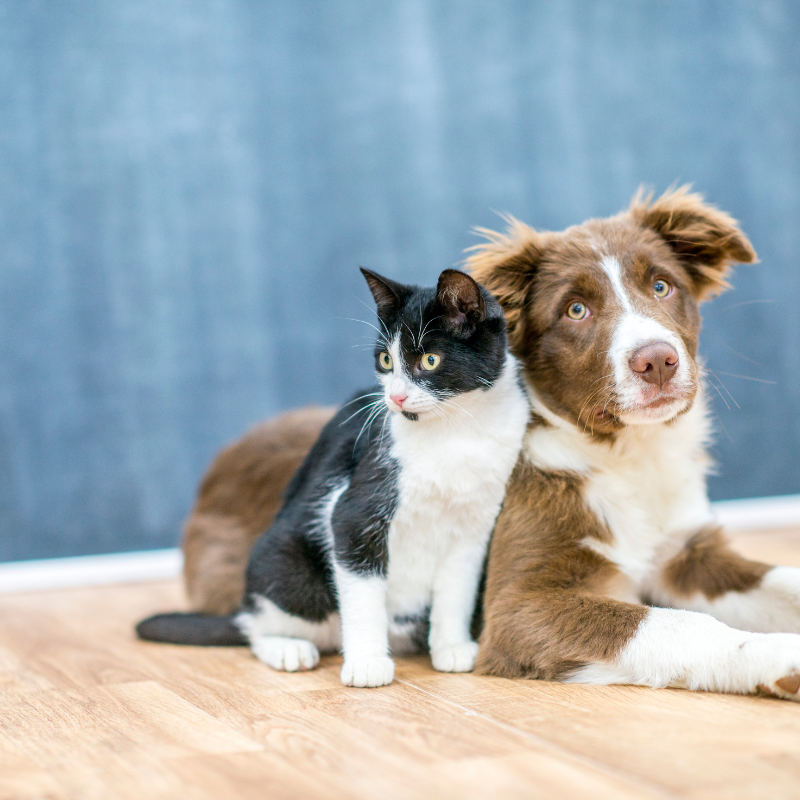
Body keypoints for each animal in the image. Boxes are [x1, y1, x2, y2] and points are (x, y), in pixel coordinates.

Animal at [136, 268, 532, 688]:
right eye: (386, 359)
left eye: (430, 359)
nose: (396, 398)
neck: (455, 432)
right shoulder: (355, 512)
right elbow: (362, 591)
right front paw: (367, 663)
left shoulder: (475, 528)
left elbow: (457, 590)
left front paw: (452, 647)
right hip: (288, 569)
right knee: (255, 625)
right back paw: (287, 648)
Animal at [468, 188, 800, 700]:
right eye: (575, 310)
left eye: (661, 286)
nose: (657, 361)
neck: (631, 456)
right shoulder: (517, 606)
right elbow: (679, 625)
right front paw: (779, 652)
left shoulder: (686, 556)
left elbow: (784, 579)